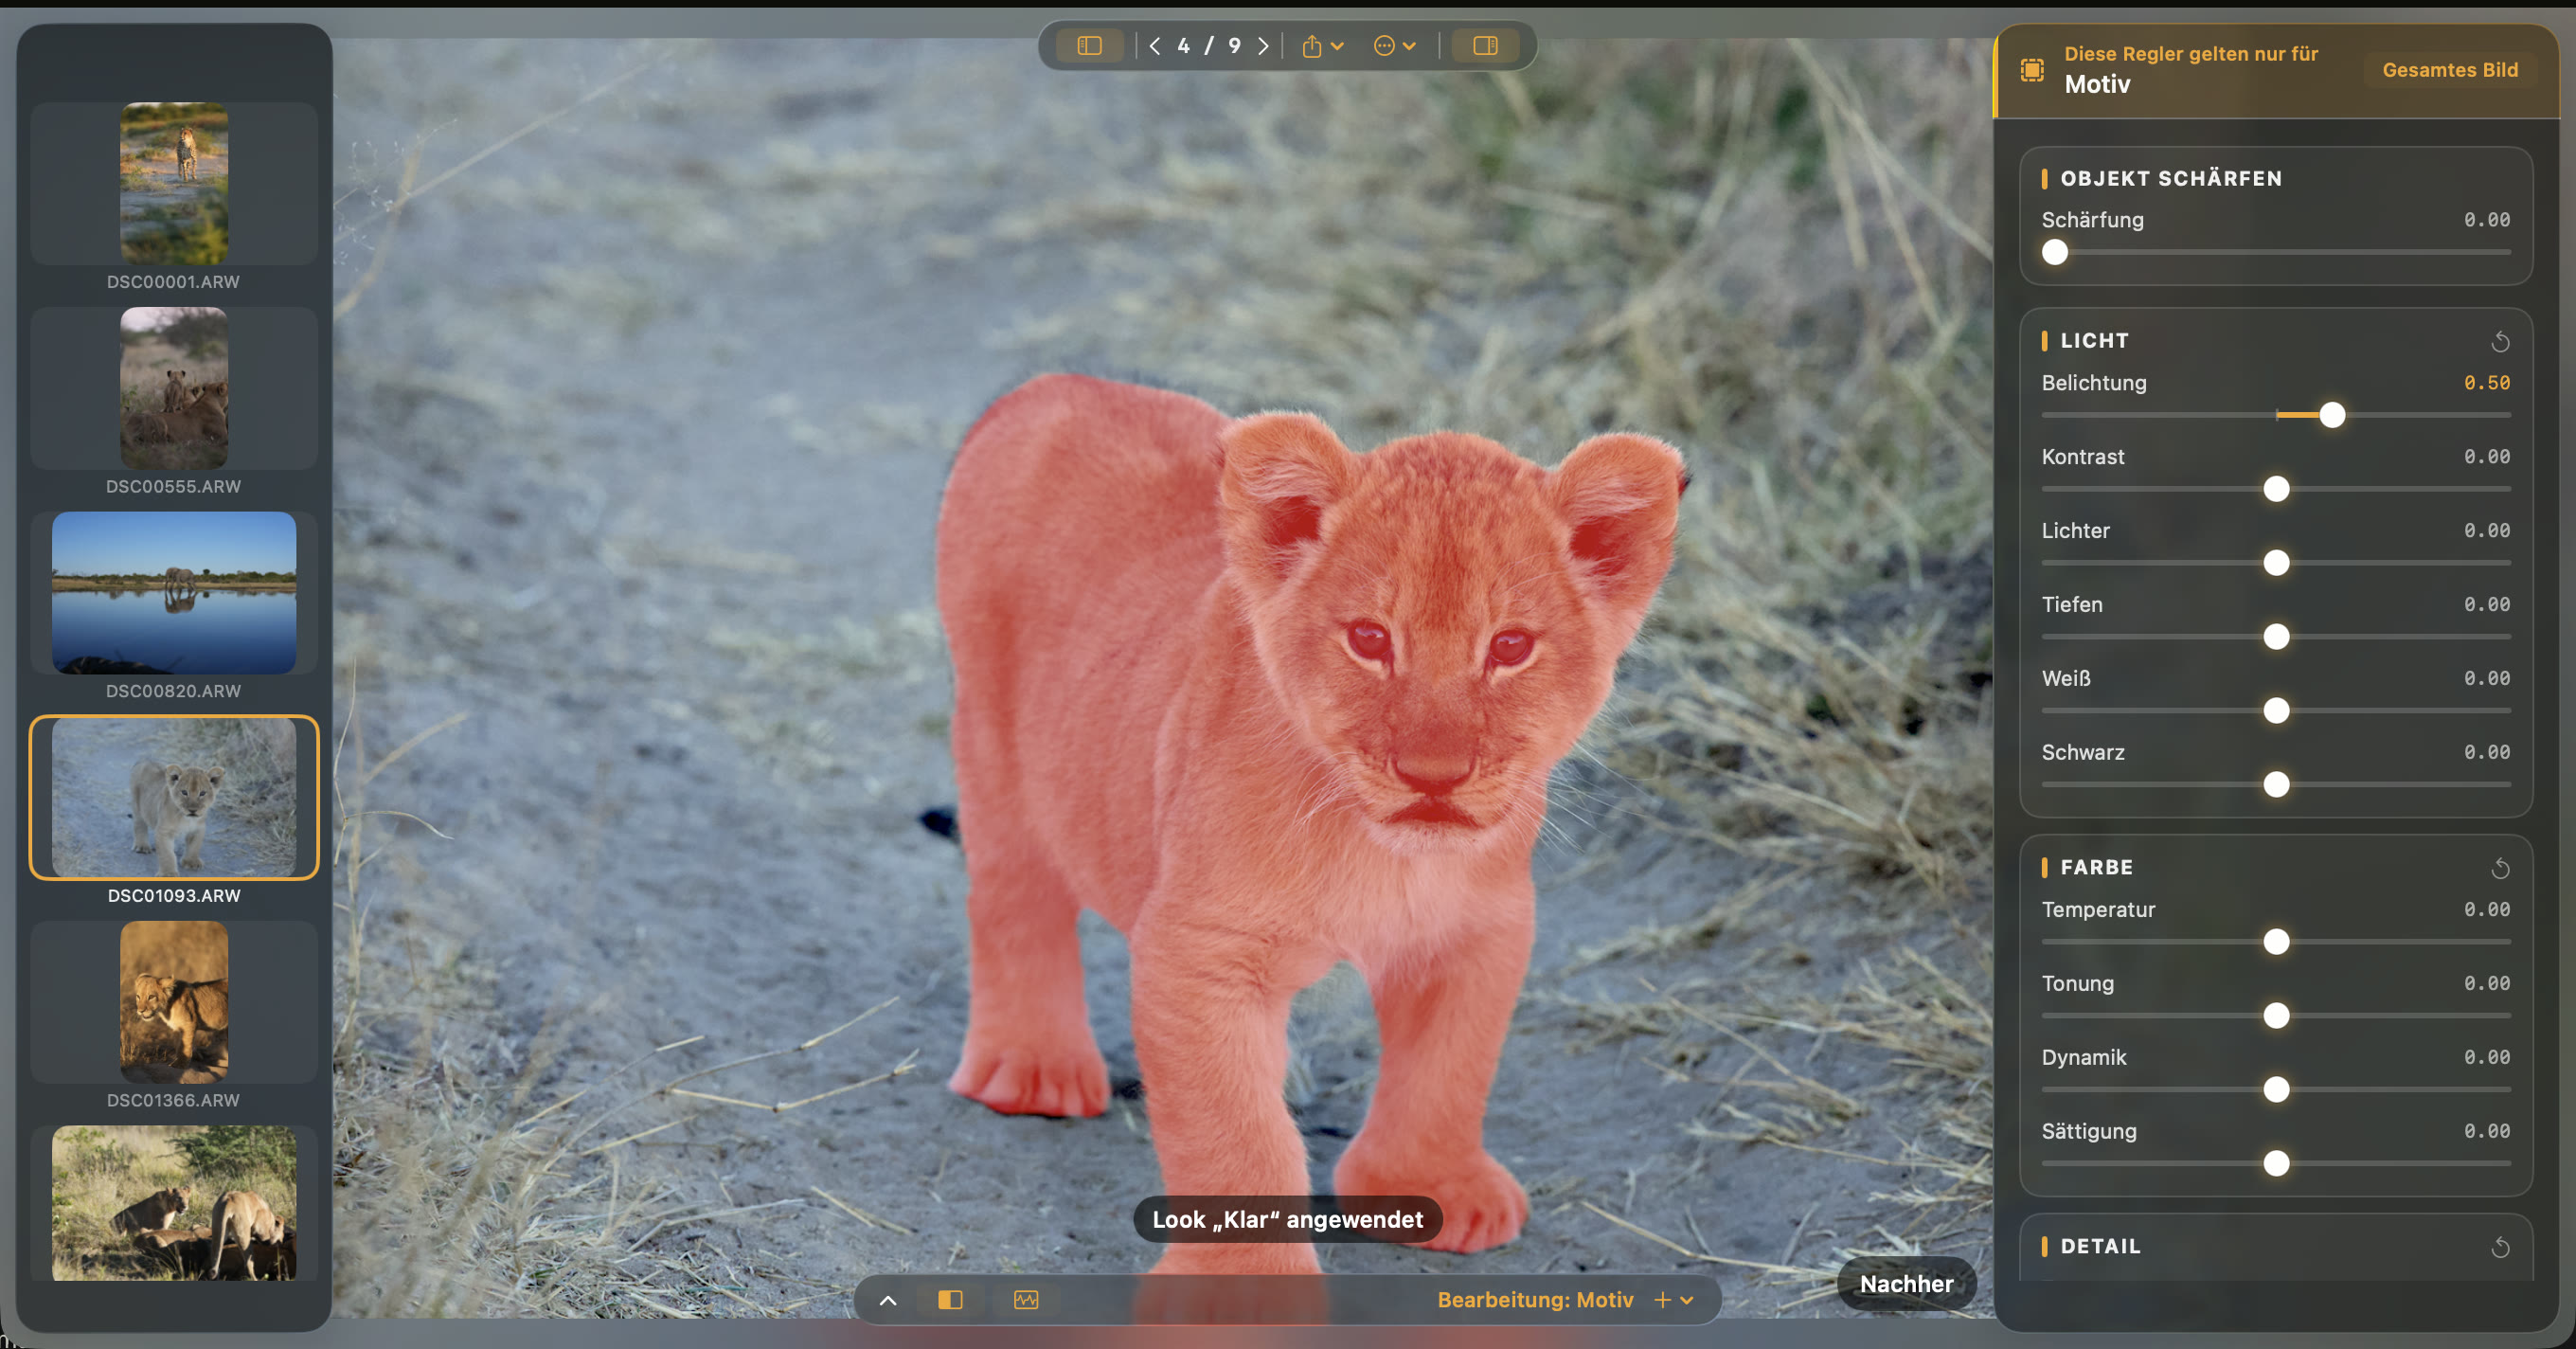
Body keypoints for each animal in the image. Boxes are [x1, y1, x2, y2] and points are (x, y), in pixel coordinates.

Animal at [935, 375, 1682, 1276]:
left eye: (1510, 647)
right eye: (1368, 638)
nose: (1433, 775)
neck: (1384, 856)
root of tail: (1054, 384)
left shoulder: (1478, 931)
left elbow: (1449, 1069)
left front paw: (1431, 1188)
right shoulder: (1200, 950)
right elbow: (1232, 1131)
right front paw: (1246, 1283)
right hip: (994, 744)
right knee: (1014, 896)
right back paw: (1033, 1067)